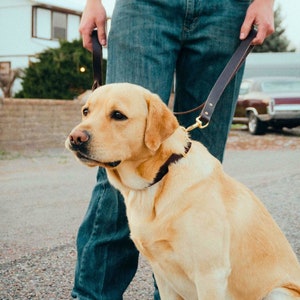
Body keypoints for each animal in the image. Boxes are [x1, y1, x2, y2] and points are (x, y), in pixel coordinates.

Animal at [67, 82, 300, 300]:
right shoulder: (162, 275)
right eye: (86, 111)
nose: (75, 138)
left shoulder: (210, 274)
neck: (161, 176)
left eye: (118, 115)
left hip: (278, 292)